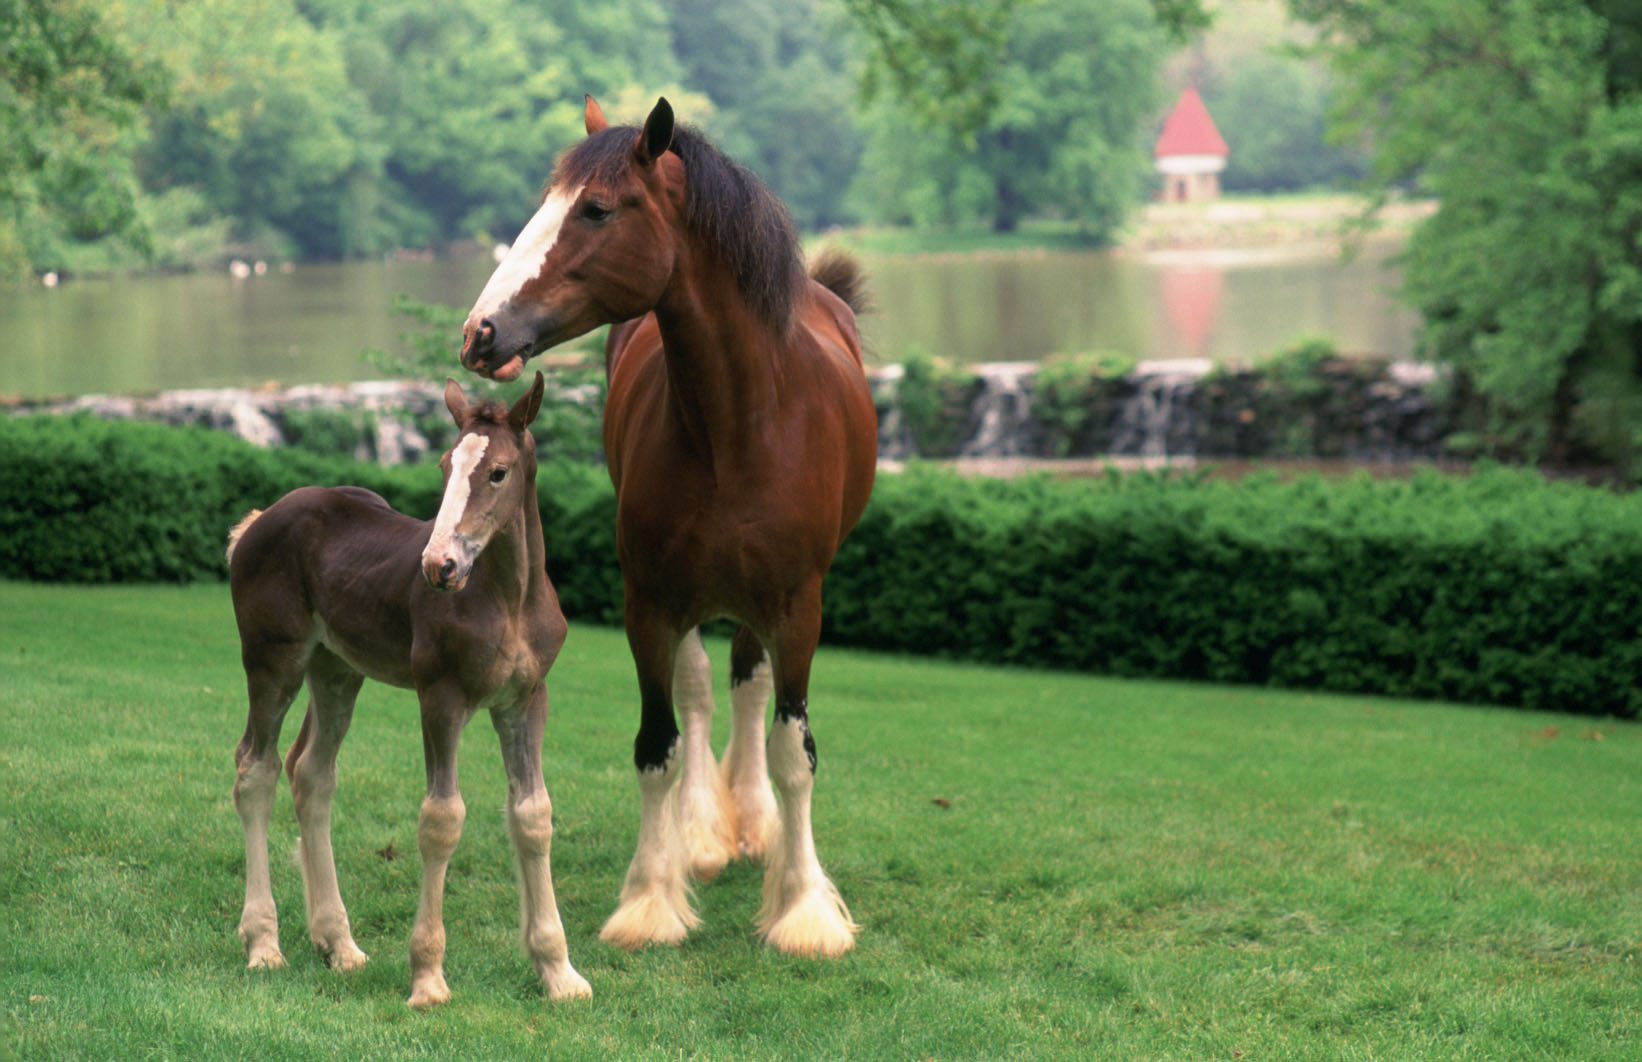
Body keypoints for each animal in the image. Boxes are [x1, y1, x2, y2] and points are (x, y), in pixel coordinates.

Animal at [224, 377, 591, 1011]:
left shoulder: (525, 700)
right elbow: (442, 819)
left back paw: (338, 944)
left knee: (311, 772)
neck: (509, 598)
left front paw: (558, 972)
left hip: (336, 669)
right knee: (257, 767)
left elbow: (533, 813)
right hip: (274, 660)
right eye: (445, 466)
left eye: (498, 472)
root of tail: (259, 519)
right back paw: (264, 944)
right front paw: (427, 978)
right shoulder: (440, 697)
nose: (439, 565)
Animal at [456, 95, 880, 958]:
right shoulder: (649, 604)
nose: (482, 332)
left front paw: (804, 909)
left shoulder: (798, 607)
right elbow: (658, 743)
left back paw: (753, 824)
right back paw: (706, 831)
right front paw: (652, 900)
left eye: (595, 208)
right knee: (700, 690)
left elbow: (794, 751)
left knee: (749, 685)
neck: (741, 422)